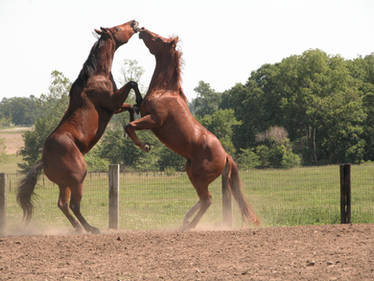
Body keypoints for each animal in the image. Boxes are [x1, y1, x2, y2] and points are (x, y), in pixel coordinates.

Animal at [16, 18, 142, 231]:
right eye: (117, 28)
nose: (134, 22)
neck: (96, 76)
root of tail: (44, 160)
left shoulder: (115, 107)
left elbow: (129, 107)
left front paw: (134, 133)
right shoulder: (112, 103)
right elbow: (132, 84)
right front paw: (140, 103)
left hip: (64, 183)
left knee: (63, 204)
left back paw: (78, 228)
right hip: (78, 177)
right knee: (74, 205)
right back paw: (91, 228)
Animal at [125, 27, 260, 230]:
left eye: (158, 39)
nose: (141, 30)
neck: (164, 91)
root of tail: (225, 155)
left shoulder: (154, 120)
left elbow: (129, 126)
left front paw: (145, 146)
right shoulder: (144, 111)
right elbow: (134, 93)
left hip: (198, 176)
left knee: (207, 200)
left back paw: (188, 226)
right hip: (191, 172)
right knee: (204, 199)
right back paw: (186, 220)